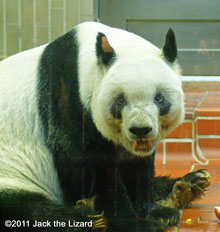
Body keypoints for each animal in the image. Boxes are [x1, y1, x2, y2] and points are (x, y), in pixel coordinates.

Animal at [0, 22, 210, 232]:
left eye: (159, 98)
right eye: (121, 100)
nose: (140, 129)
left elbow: (138, 167)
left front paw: (155, 212)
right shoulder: (67, 101)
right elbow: (88, 166)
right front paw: (136, 223)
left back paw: (189, 184)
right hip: (12, 173)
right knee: (28, 208)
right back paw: (90, 217)